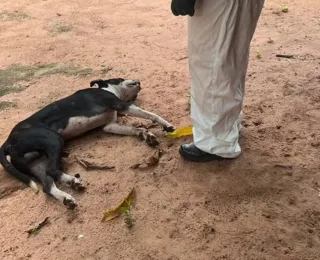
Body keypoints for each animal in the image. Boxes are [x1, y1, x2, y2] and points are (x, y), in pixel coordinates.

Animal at [0, 77, 175, 209]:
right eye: (120, 78)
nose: (139, 81)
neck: (107, 90)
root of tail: (8, 141)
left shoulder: (109, 126)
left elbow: (134, 129)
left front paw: (147, 135)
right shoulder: (121, 105)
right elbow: (151, 114)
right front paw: (166, 125)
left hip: (37, 162)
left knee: (47, 184)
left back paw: (68, 196)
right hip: (53, 140)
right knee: (52, 170)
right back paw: (73, 181)